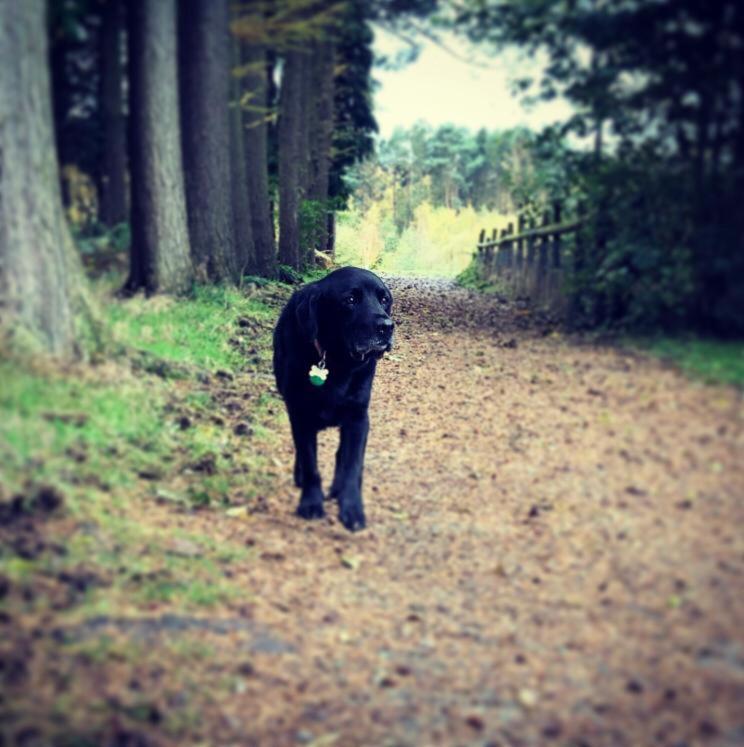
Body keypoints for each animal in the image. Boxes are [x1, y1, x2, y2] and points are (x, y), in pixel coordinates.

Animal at [274, 268, 396, 532]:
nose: (387, 326)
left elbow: (351, 464)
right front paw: (311, 503)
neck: (339, 362)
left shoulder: (358, 419)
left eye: (384, 300)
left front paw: (351, 507)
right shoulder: (301, 416)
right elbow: (310, 464)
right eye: (350, 300)